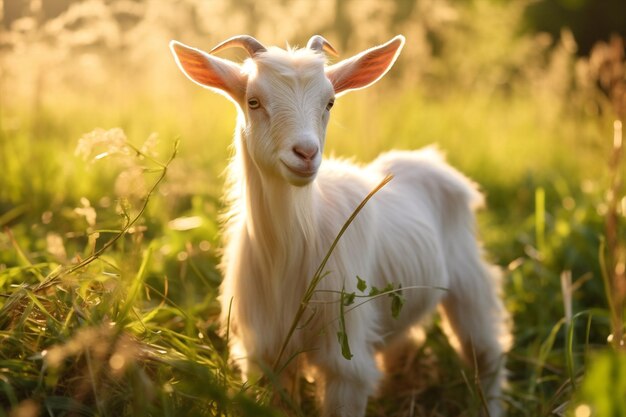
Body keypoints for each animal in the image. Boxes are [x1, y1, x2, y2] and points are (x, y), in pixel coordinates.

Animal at [169, 34, 508, 414]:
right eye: (253, 101)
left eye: (329, 102)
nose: (305, 153)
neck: (290, 250)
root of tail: (430, 159)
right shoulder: (265, 353)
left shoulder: (346, 360)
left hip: (469, 283)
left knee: (486, 352)